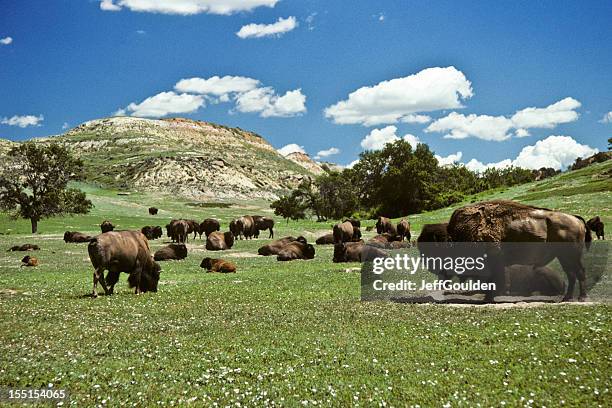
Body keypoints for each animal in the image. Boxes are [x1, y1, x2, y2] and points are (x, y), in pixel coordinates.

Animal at [448, 199, 592, 302]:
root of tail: (576, 219)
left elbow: (493, 281)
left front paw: (488, 298)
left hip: (571, 256)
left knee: (579, 272)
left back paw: (582, 298)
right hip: (563, 257)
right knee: (571, 274)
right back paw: (567, 298)